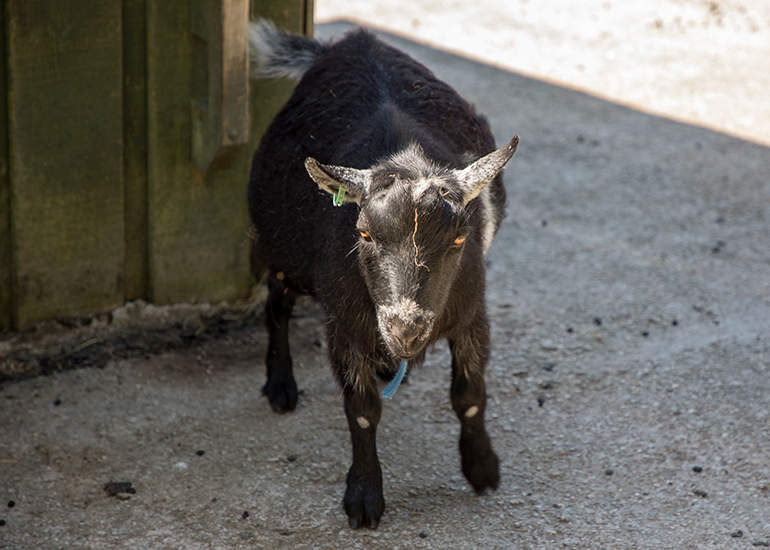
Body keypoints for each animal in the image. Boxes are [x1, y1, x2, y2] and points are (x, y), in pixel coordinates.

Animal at [247, 21, 518, 529]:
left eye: (459, 240)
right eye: (365, 233)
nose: (405, 328)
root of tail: (351, 42)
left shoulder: (473, 313)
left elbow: (469, 393)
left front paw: (482, 469)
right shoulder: (345, 324)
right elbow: (362, 410)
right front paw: (364, 499)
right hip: (280, 248)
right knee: (277, 301)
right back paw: (280, 385)